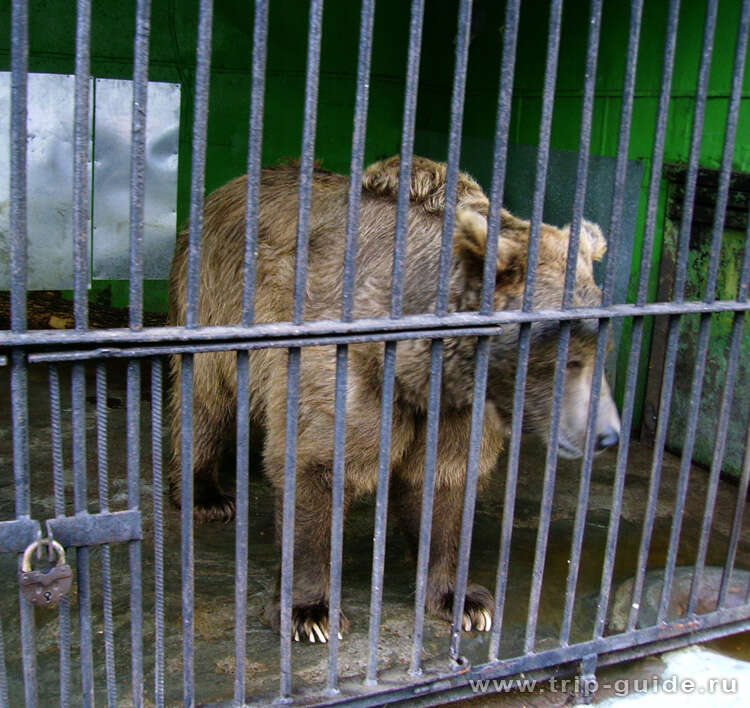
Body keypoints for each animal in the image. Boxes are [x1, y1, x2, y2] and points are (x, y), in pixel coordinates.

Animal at [169, 155, 624, 640]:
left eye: (602, 349)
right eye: (566, 356)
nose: (607, 436)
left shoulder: (455, 406)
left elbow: (443, 481)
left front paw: (463, 600)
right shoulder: (346, 363)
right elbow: (318, 466)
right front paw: (310, 612)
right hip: (216, 299)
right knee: (204, 400)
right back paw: (206, 496)